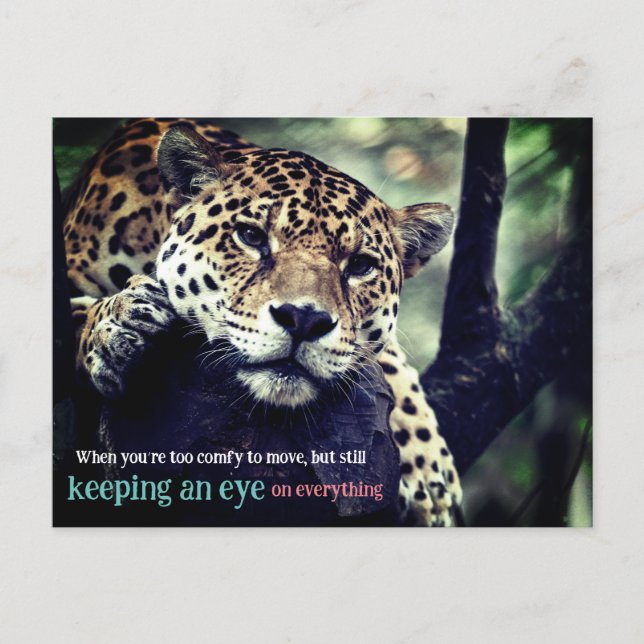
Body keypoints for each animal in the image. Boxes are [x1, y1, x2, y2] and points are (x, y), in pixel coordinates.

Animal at [62, 118, 462, 526]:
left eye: (361, 265)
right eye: (251, 236)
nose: (304, 319)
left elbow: (387, 361)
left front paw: (429, 477)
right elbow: (75, 317)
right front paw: (117, 327)